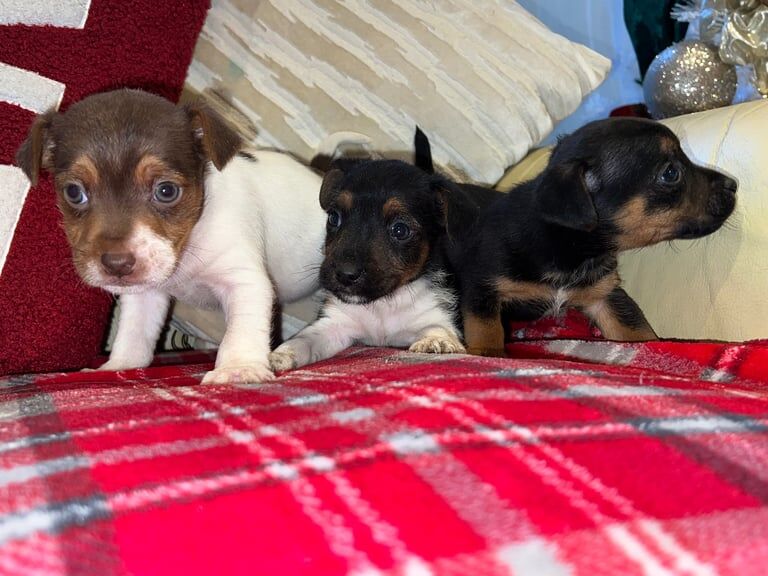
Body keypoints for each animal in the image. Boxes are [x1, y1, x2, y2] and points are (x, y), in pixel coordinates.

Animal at [17, 89, 324, 382]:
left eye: (166, 191)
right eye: (73, 192)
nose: (116, 264)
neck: (189, 242)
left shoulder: (244, 281)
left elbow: (241, 330)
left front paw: (239, 368)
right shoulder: (145, 294)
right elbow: (133, 337)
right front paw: (117, 367)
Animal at [456, 117, 736, 356]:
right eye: (670, 173)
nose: (734, 185)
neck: (568, 244)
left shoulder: (606, 296)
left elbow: (637, 333)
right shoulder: (482, 288)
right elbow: (486, 330)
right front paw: (489, 353)